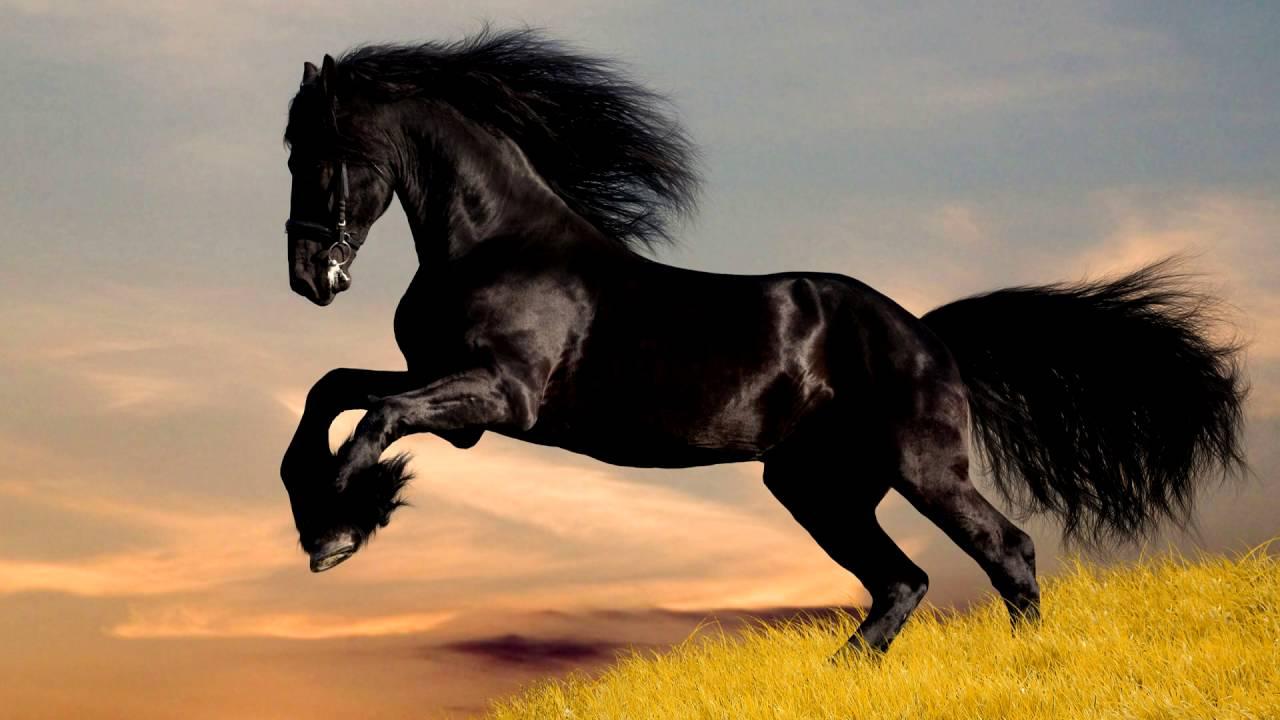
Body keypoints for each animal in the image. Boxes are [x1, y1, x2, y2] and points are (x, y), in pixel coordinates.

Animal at [278, 30, 1246, 655]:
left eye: (315, 151)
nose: (307, 276)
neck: (499, 242)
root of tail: (926, 335)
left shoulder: (496, 397)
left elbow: (372, 421)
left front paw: (339, 528)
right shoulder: (447, 388)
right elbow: (331, 392)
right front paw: (330, 516)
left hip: (919, 468)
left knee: (1004, 551)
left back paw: (1023, 664)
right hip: (818, 486)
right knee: (901, 582)